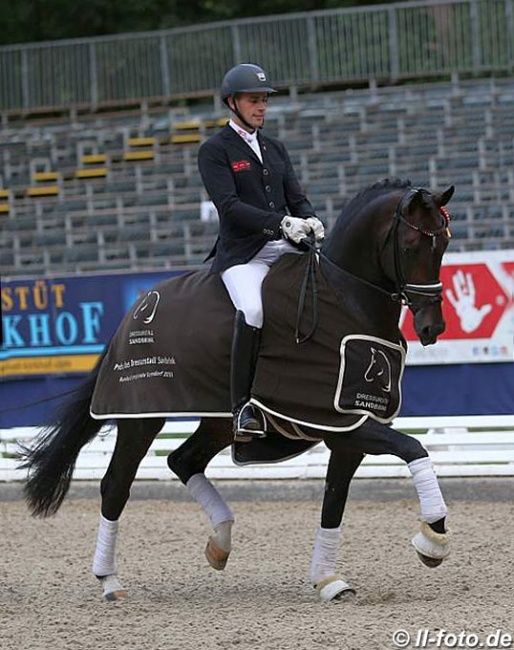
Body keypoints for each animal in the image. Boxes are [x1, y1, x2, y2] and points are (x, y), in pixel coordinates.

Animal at [19, 178, 452, 604]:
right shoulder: (337, 420)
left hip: (217, 421)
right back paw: (110, 580)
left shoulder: (349, 430)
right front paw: (432, 539)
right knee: (116, 485)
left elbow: (334, 500)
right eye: (411, 246)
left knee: (183, 460)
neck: (346, 301)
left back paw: (220, 542)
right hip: (141, 416)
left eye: (444, 244)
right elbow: (415, 449)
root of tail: (137, 310)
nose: (432, 328)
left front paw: (328, 580)